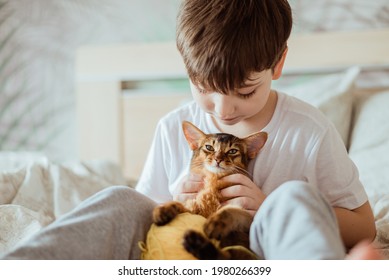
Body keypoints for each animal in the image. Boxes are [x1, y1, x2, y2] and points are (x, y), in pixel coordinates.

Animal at [152, 121, 266, 260]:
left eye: (232, 151)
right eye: (209, 147)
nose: (218, 159)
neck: (213, 182)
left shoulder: (250, 222)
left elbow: (231, 211)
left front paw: (215, 222)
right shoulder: (193, 210)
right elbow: (180, 204)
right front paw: (164, 208)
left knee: (223, 257)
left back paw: (197, 243)